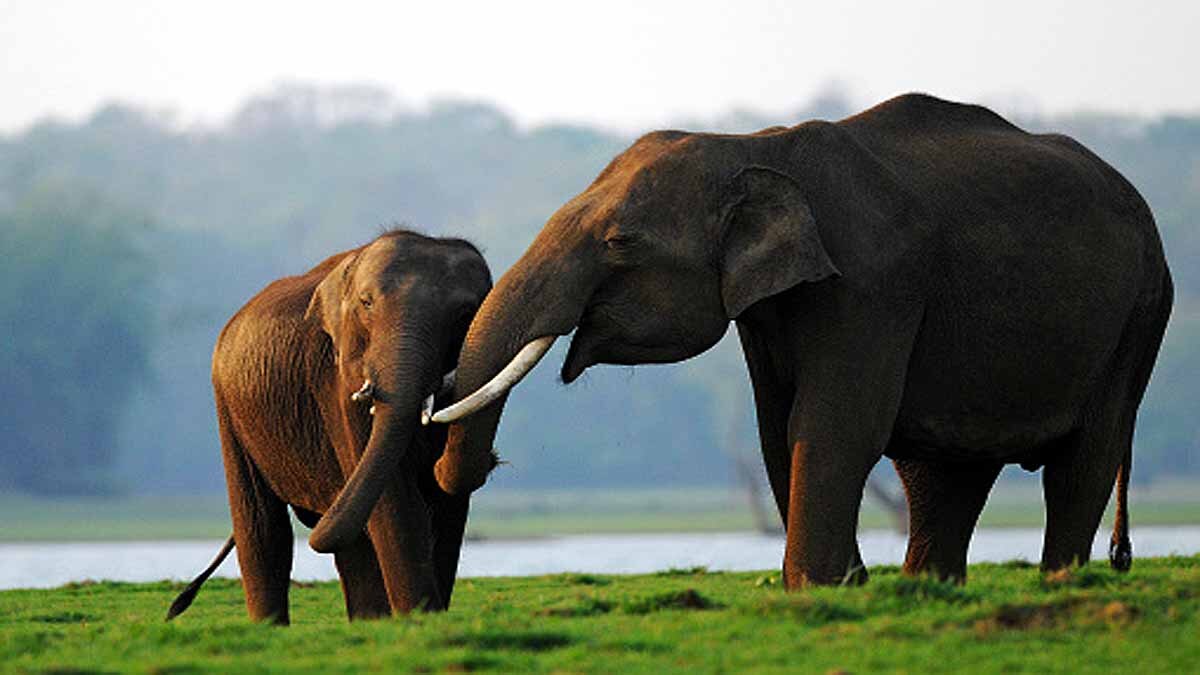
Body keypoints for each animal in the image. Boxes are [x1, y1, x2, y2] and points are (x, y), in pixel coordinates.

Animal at [167, 229, 492, 623]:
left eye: (465, 314)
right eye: (367, 303)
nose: (175, 606)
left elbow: (445, 502)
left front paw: (425, 619)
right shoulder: (335, 383)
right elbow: (394, 497)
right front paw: (420, 619)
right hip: (228, 407)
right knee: (265, 529)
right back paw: (270, 627)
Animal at [429, 94, 1173, 587]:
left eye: (619, 242)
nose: (481, 464)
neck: (755, 146)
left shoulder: (873, 282)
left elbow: (835, 425)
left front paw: (820, 588)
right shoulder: (767, 311)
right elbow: (775, 429)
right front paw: (843, 587)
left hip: (1139, 317)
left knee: (1083, 459)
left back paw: (1060, 582)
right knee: (943, 475)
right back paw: (925, 593)